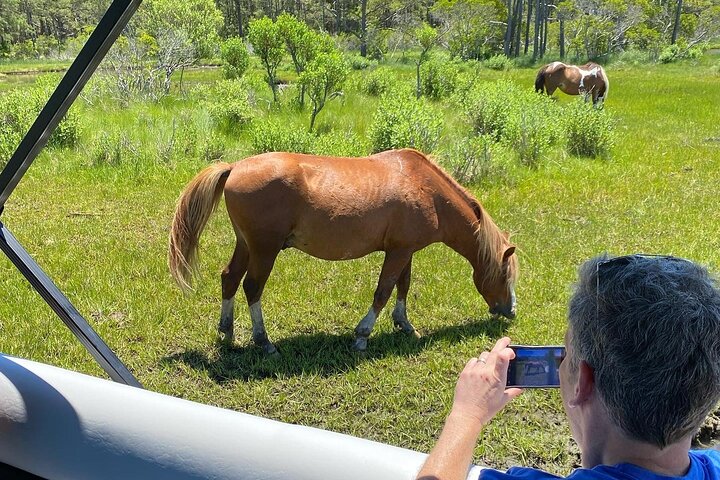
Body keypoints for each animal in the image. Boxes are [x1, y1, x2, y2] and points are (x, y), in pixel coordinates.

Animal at [168, 148, 519, 353]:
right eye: (505, 274)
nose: (510, 311)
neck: (426, 188)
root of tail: (235, 167)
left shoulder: (404, 250)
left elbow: (402, 287)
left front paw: (405, 325)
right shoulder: (397, 253)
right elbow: (383, 291)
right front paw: (362, 335)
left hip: (246, 245)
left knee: (229, 278)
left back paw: (227, 331)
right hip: (264, 250)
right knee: (252, 287)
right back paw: (263, 341)